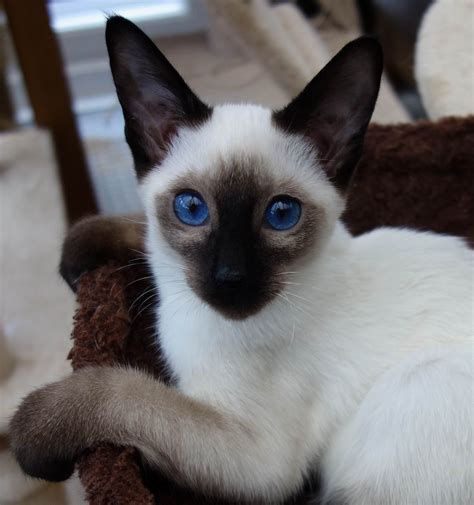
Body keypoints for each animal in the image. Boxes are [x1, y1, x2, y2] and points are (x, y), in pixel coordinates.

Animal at [9, 15, 472, 504]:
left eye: (282, 215)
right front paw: (79, 251)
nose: (231, 278)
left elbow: (118, 387)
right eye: (191, 209)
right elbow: (143, 235)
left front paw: (31, 431)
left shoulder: (255, 458)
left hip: (416, 386)